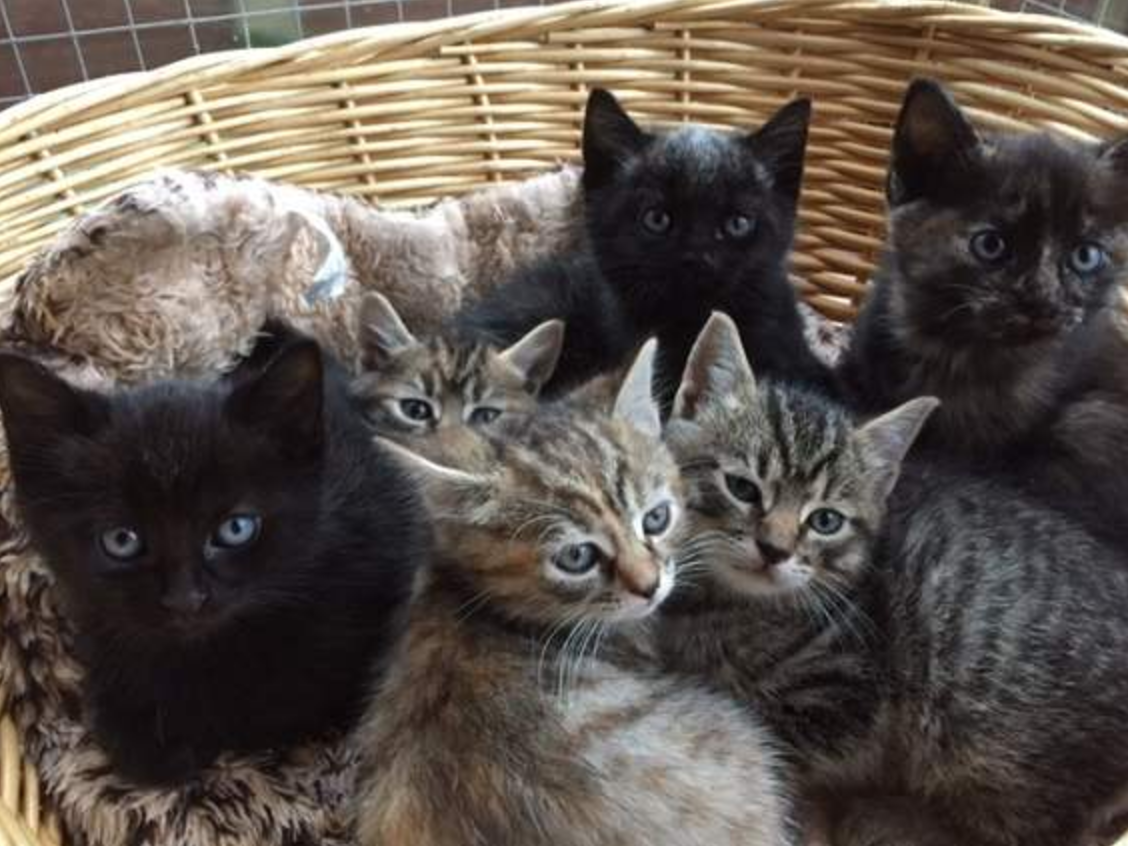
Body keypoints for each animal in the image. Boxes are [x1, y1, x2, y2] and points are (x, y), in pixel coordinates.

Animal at [658, 313, 1128, 846]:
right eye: (741, 488)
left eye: (825, 521)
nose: (774, 549)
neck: (729, 604)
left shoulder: (847, 699)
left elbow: (757, 724)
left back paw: (886, 816)